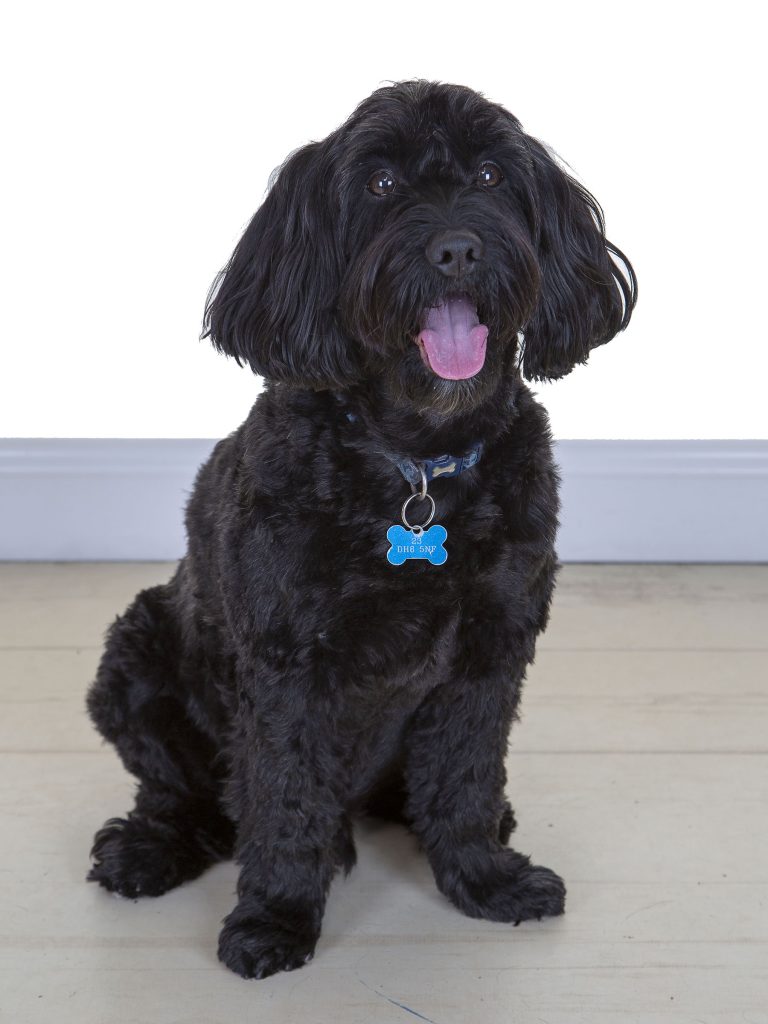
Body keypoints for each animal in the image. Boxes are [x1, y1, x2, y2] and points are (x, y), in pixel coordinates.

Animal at [86, 80, 636, 980]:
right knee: (188, 795)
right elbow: (285, 797)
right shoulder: (288, 665)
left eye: (490, 174)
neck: (417, 465)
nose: (456, 250)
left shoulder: (491, 647)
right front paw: (275, 918)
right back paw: (149, 848)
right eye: (379, 185)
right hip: (135, 659)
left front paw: (484, 877)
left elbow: (465, 774)